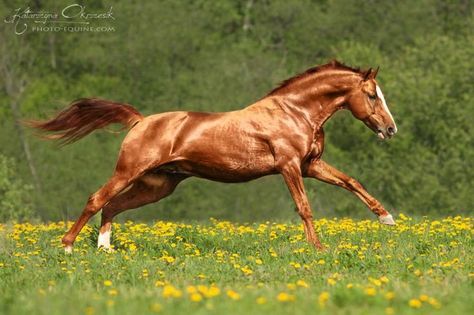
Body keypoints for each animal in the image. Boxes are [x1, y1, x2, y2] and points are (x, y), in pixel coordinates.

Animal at [28, 59, 396, 254]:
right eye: (371, 94)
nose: (390, 129)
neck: (295, 112)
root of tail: (140, 121)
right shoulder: (290, 166)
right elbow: (304, 207)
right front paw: (318, 249)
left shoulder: (310, 166)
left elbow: (351, 182)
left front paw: (387, 218)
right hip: (128, 172)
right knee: (97, 199)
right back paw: (68, 247)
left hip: (158, 185)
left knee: (113, 205)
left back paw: (105, 249)